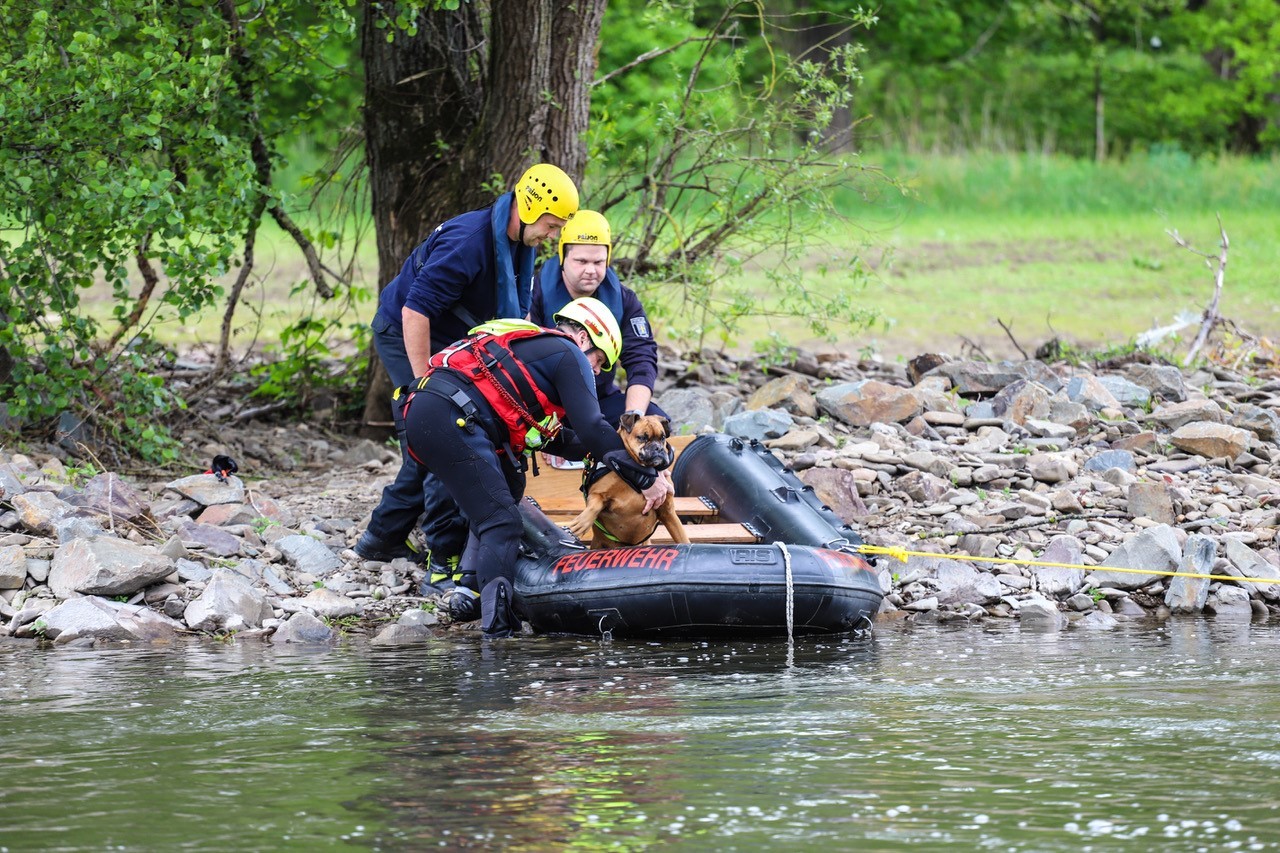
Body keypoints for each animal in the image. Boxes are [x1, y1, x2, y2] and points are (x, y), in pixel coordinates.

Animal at [568, 409, 691, 545]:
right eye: (642, 437)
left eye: (662, 437)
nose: (658, 448)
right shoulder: (597, 494)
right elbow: (594, 506)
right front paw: (583, 522)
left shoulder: (668, 513)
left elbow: (683, 538)